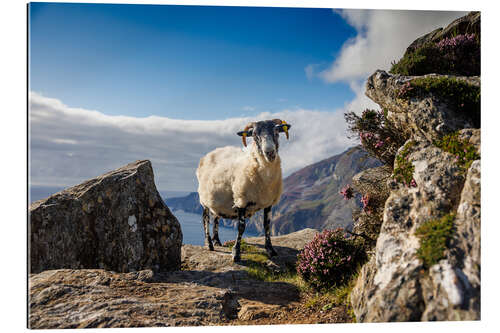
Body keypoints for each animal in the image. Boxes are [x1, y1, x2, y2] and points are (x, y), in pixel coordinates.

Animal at [194, 118, 292, 260]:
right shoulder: (241, 200)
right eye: (255, 135)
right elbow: (241, 227)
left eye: (276, 132)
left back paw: (217, 241)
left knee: (216, 218)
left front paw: (270, 250)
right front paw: (236, 253)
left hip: (216, 200)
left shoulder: (269, 203)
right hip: (204, 200)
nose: (270, 152)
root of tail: (211, 152)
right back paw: (209, 244)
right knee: (205, 220)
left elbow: (267, 226)